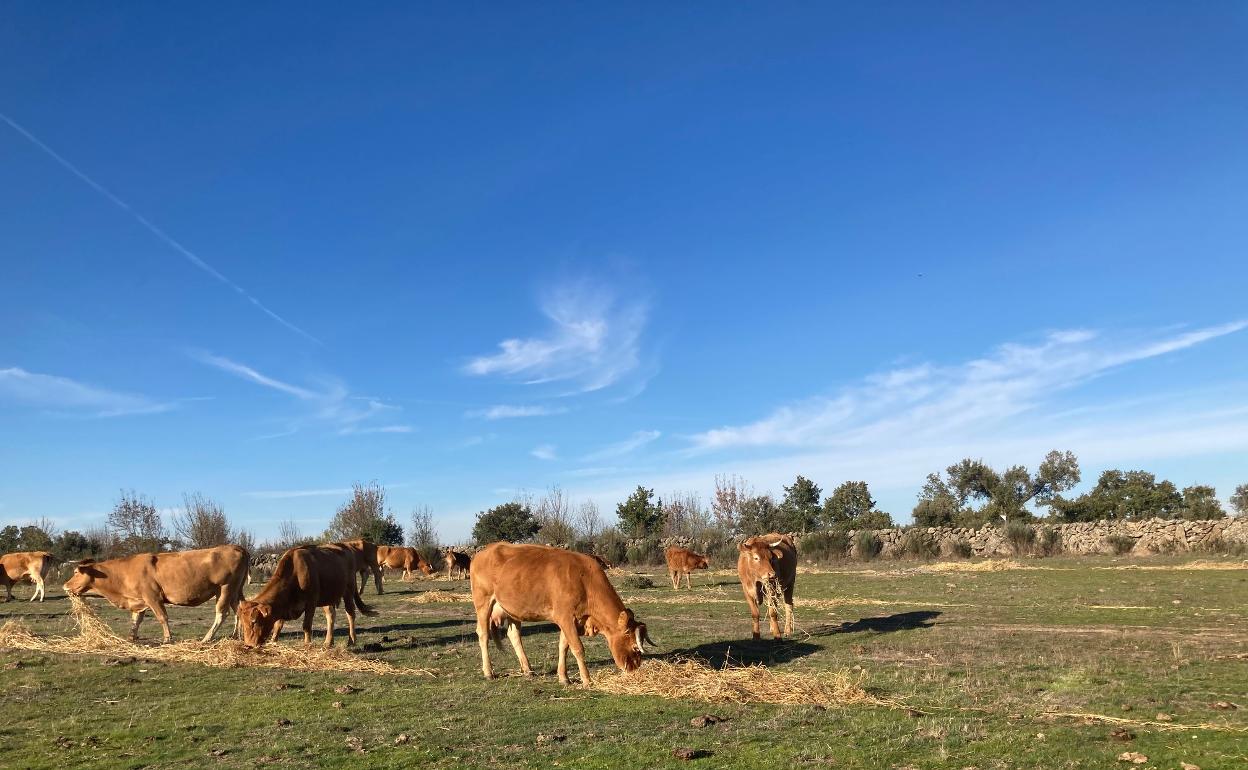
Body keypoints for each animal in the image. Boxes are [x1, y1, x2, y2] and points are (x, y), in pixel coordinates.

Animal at [62, 544, 249, 643]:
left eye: (76, 572)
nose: (64, 586)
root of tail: (235, 546)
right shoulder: (139, 601)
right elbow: (136, 621)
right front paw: (131, 637)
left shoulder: (153, 597)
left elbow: (162, 617)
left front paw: (167, 638)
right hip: (235, 590)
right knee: (239, 609)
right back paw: (236, 636)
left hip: (225, 588)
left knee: (222, 613)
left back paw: (207, 638)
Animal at [235, 541, 374, 648]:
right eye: (243, 622)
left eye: (254, 622)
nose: (249, 645)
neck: (295, 571)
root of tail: (345, 546)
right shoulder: (283, 605)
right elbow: (278, 625)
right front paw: (273, 642)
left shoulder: (311, 602)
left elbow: (306, 626)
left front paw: (307, 644)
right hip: (327, 598)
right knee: (331, 615)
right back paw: (328, 642)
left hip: (348, 590)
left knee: (350, 614)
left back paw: (351, 640)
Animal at [469, 541, 663, 683]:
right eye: (635, 647)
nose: (635, 667)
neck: (585, 580)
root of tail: (484, 551)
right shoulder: (565, 617)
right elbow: (577, 648)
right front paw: (586, 680)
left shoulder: (572, 619)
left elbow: (563, 646)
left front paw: (563, 677)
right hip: (483, 602)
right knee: (483, 634)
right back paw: (489, 672)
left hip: (512, 609)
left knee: (514, 635)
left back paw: (528, 669)